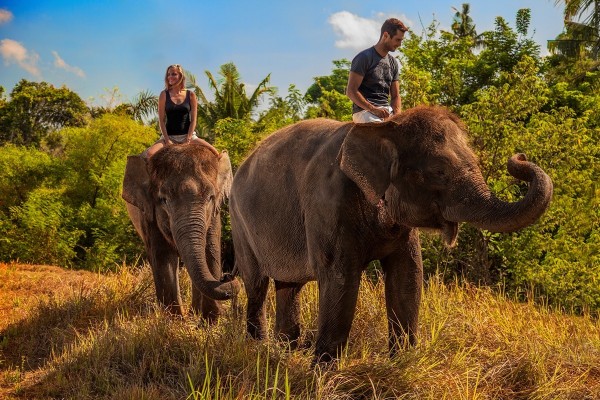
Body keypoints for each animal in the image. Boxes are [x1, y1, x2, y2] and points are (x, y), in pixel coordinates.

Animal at [121, 144, 239, 322]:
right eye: (164, 200)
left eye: (211, 197)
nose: (227, 277)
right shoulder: (149, 215)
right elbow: (163, 258)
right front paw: (173, 322)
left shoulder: (214, 216)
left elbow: (210, 251)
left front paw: (209, 321)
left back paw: (194, 313)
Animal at [230, 104, 552, 364]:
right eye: (439, 171)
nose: (518, 157)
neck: (384, 128)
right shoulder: (327, 204)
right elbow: (341, 279)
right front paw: (323, 375)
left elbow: (407, 276)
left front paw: (402, 364)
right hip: (239, 221)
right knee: (256, 285)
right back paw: (258, 349)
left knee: (289, 286)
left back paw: (283, 352)